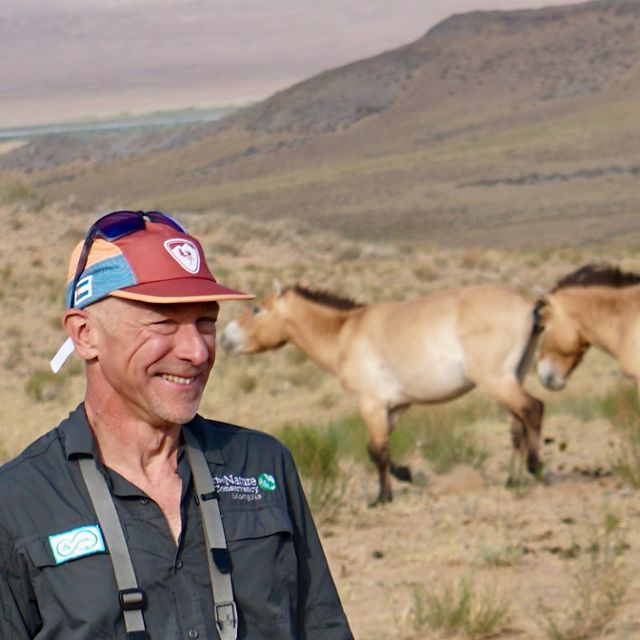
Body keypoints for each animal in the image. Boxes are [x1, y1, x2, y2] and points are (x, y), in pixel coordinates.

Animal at [221, 282, 544, 502]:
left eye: (257, 309)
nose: (225, 338)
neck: (345, 334)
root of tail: (530, 307)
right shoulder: (395, 407)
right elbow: (382, 448)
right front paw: (403, 475)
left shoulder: (371, 404)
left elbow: (377, 450)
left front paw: (382, 498)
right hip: (512, 377)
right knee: (517, 427)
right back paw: (513, 480)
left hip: (497, 380)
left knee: (532, 409)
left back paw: (535, 466)